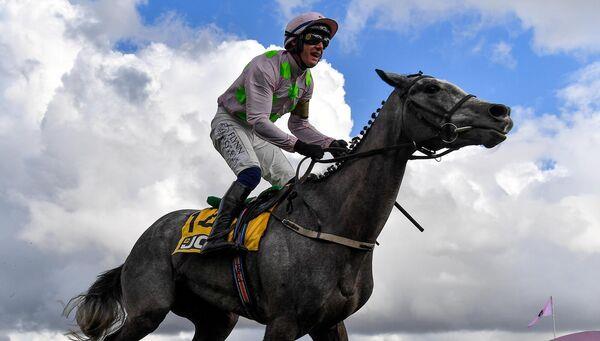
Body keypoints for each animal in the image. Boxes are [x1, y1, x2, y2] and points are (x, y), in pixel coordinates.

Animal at [67, 69, 516, 340]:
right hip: (149, 308)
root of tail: (140, 242)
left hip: (215, 318)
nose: (501, 112)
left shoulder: (332, 323)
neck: (336, 224)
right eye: (431, 88)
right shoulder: (282, 322)